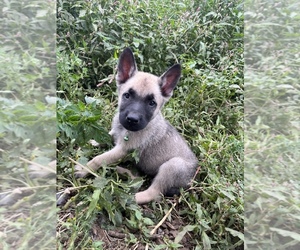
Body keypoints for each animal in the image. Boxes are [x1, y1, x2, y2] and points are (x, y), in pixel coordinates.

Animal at [75, 47, 198, 204]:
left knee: (154, 193)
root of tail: (191, 179)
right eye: (127, 95)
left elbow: (99, 159)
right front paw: (94, 142)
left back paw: (131, 197)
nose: (132, 119)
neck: (124, 130)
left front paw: (84, 168)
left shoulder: (121, 150)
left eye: (152, 103)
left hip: (172, 166)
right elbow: (108, 136)